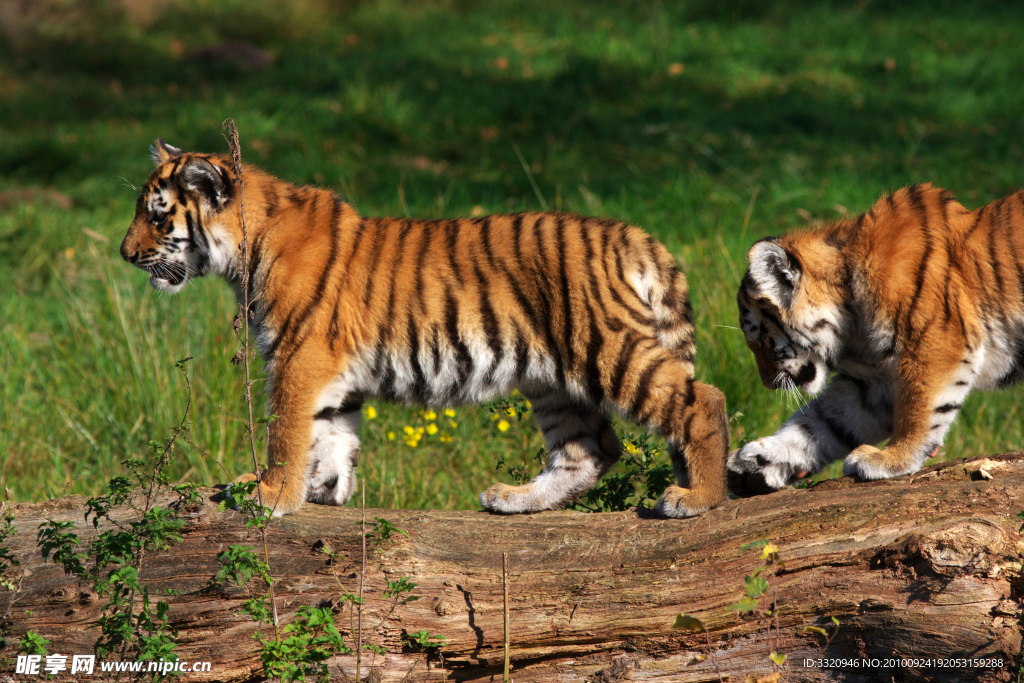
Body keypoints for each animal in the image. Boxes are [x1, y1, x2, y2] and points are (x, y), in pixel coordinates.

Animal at [117, 140, 729, 518]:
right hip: (553, 379)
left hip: (607, 349)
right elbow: (330, 433)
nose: (124, 255)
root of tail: (636, 236)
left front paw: (271, 493)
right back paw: (515, 499)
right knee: (590, 449)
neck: (244, 250)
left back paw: (698, 497)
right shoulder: (329, 371)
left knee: (703, 400)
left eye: (156, 214)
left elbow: (287, 430)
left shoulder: (298, 356)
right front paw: (324, 490)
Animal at [729, 181, 1024, 497]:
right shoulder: (875, 383)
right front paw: (756, 462)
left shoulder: (936, 345)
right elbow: (820, 422)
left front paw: (891, 458)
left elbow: (919, 408)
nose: (767, 384)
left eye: (760, 337)